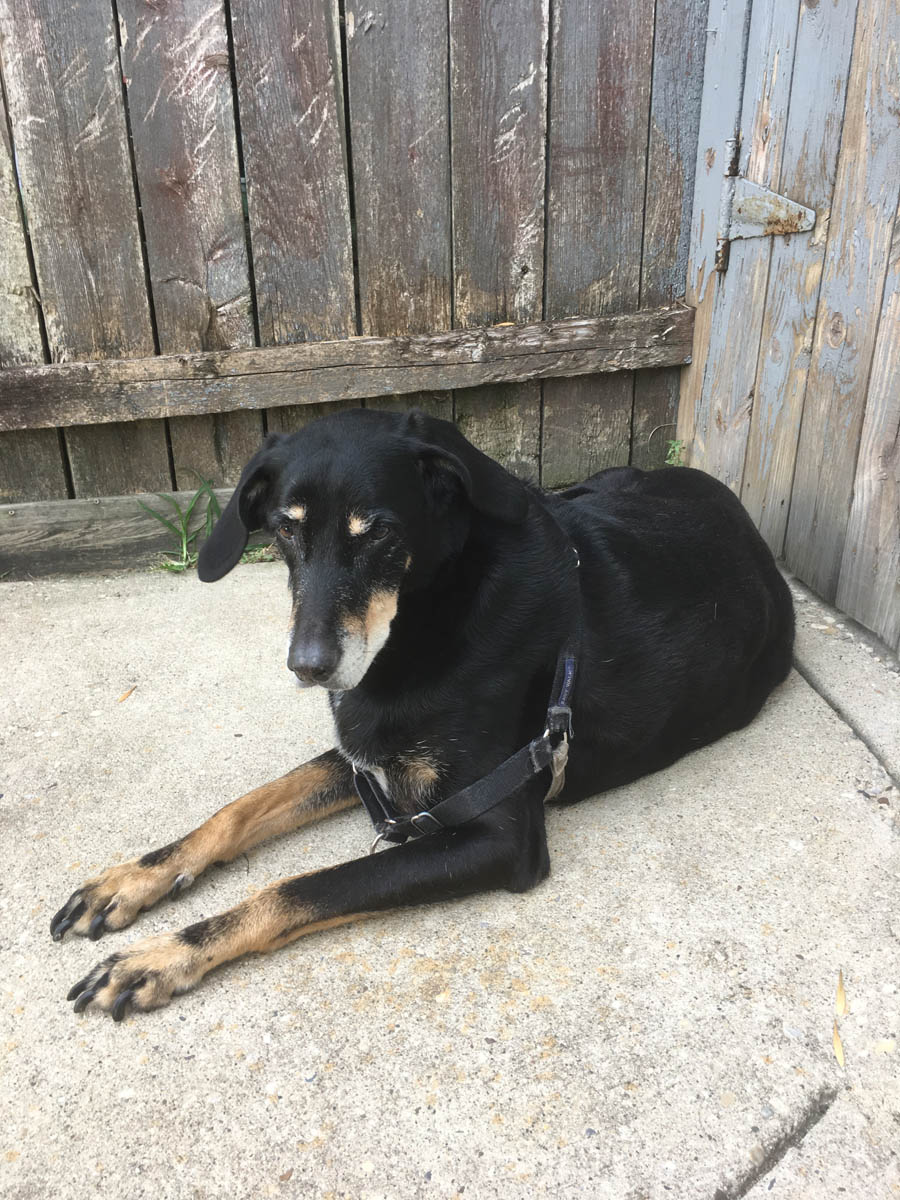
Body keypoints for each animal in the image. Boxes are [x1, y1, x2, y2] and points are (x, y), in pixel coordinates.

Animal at [51, 408, 796, 1017]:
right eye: (285, 531)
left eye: (378, 533)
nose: (308, 666)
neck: (432, 620)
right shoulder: (365, 751)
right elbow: (239, 809)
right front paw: (132, 880)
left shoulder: (497, 835)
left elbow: (299, 888)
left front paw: (164, 956)